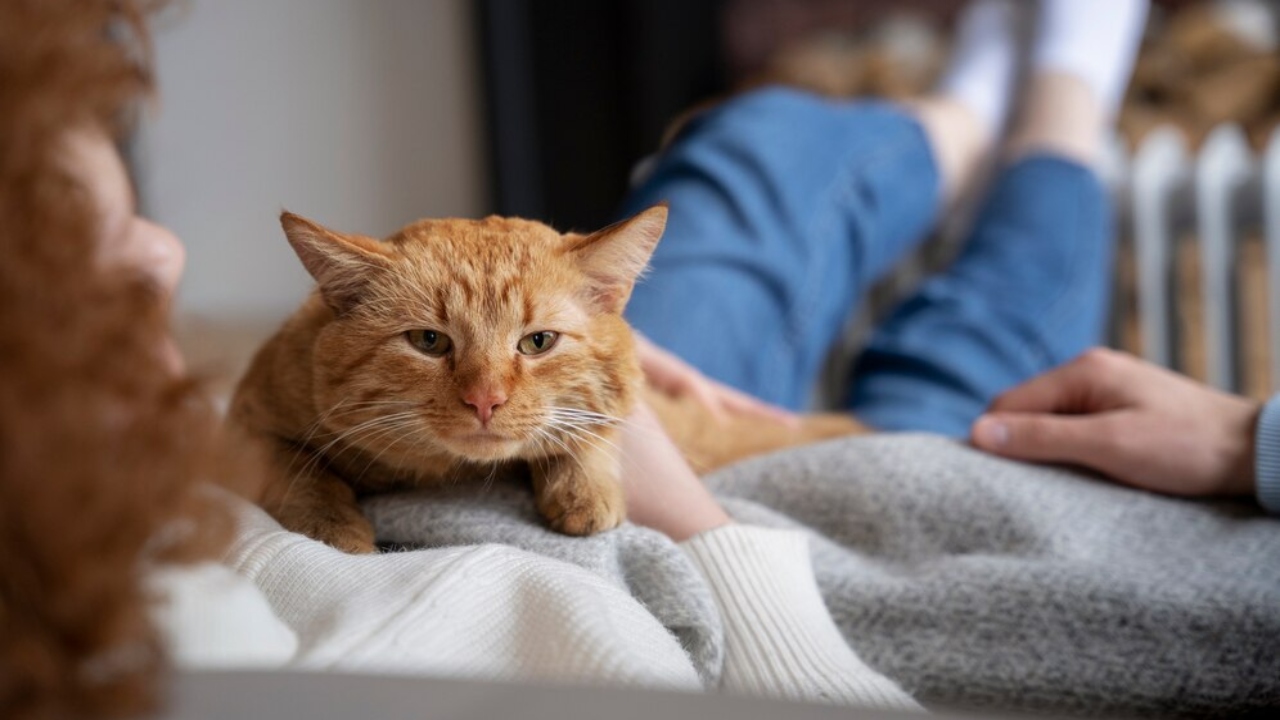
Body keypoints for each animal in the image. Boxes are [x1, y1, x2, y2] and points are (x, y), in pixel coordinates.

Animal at [231, 204, 870, 550]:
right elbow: (296, 468)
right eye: (429, 341)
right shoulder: (243, 423)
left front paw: (584, 490)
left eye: (537, 342)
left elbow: (593, 422)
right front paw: (330, 523)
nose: (484, 400)